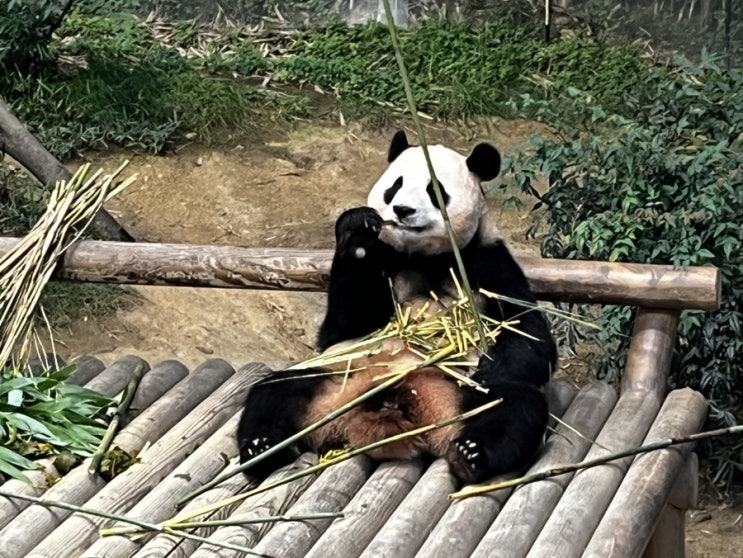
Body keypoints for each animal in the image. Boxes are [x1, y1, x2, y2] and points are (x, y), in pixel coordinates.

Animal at [237, 130, 556, 485]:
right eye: (394, 186)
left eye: (435, 190)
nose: (402, 210)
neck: (425, 257)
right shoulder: (386, 260)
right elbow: (342, 327)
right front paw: (357, 228)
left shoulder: (488, 261)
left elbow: (528, 334)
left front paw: (488, 368)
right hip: (334, 379)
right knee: (273, 391)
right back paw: (261, 449)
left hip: (453, 394)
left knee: (513, 406)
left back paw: (471, 455)